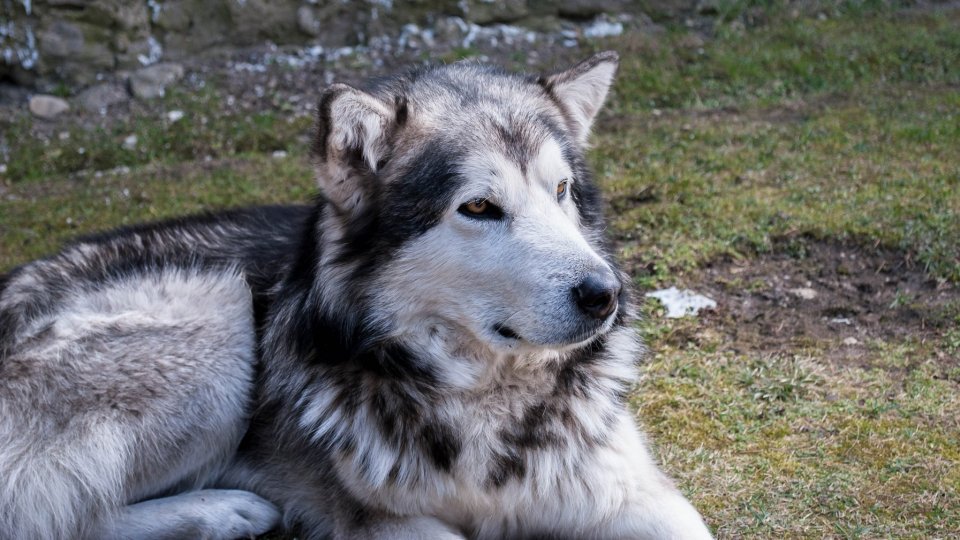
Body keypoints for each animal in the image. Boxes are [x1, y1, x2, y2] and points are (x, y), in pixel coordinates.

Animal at [0, 51, 712, 540]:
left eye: (561, 191)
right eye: (479, 206)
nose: (606, 294)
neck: (488, 404)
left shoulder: (637, 495)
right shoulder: (385, 522)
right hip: (218, 315)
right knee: (55, 520)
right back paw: (223, 511)